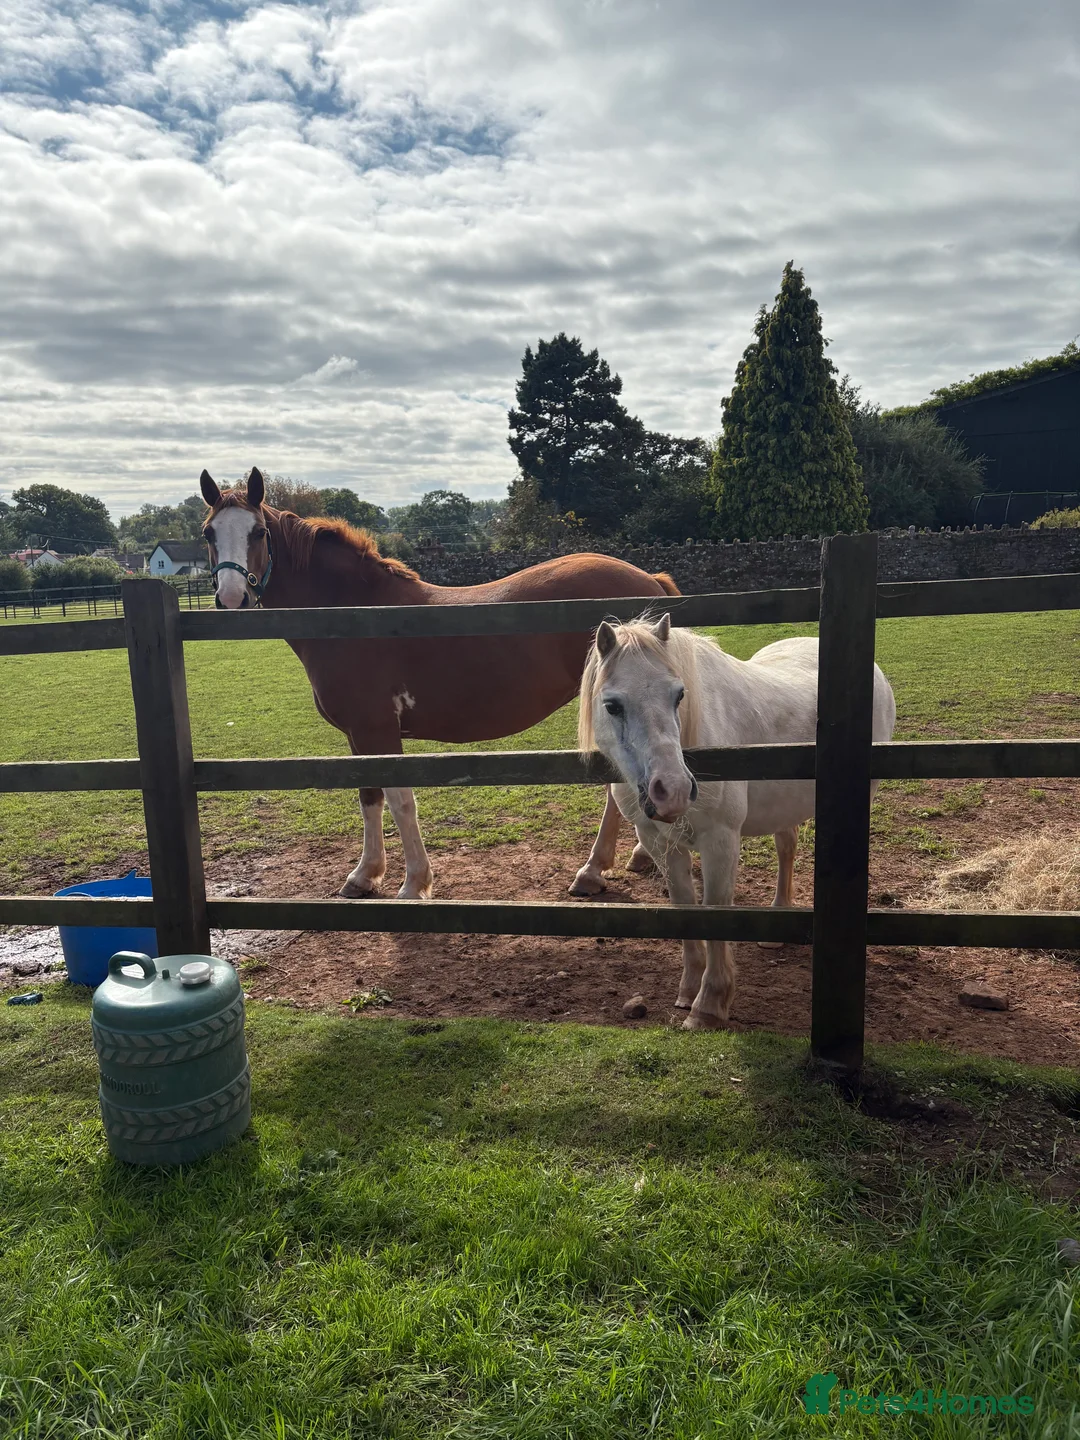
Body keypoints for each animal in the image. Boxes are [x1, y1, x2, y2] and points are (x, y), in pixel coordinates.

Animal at [198, 467, 680, 900]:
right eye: (208, 533)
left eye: (259, 532)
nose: (232, 598)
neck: (354, 613)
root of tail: (649, 580)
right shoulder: (359, 735)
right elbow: (369, 796)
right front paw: (364, 876)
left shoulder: (377, 730)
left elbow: (400, 800)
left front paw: (413, 884)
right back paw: (633, 856)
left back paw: (593, 871)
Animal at [578, 613, 897, 1030]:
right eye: (612, 705)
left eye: (679, 695)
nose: (673, 790)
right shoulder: (659, 843)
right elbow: (684, 907)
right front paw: (688, 990)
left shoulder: (720, 841)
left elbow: (716, 911)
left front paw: (709, 1005)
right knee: (786, 846)